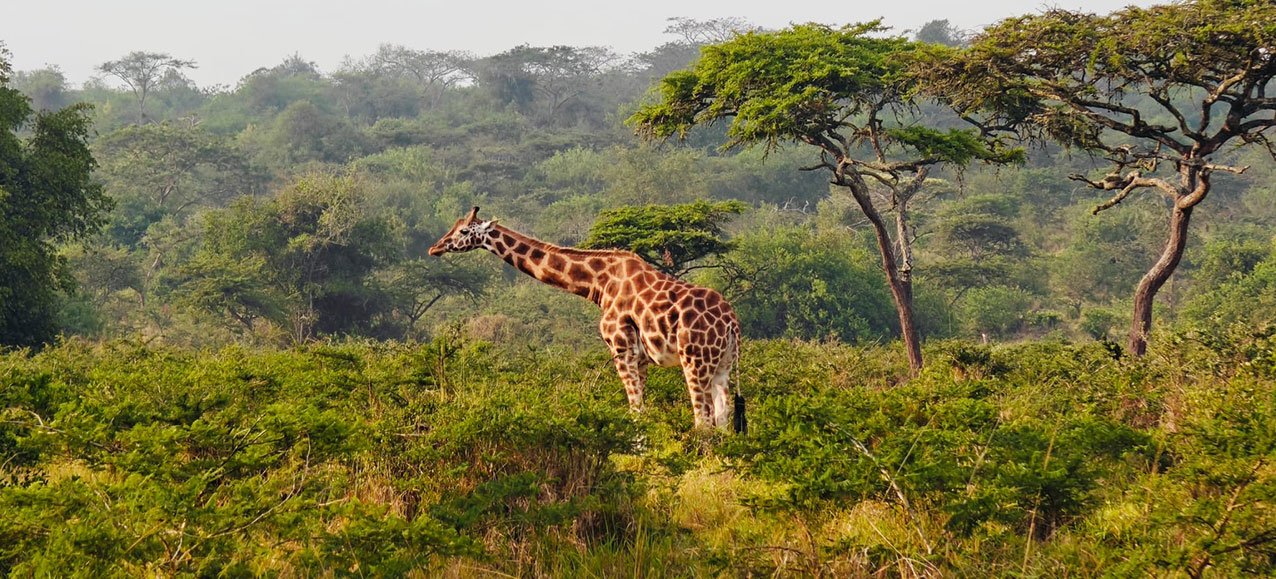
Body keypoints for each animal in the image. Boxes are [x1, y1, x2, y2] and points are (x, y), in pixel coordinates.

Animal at [431, 205, 745, 428]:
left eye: (463, 232)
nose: (435, 247)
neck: (598, 283)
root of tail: (731, 323)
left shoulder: (621, 347)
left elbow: (636, 410)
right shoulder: (640, 357)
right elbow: (640, 407)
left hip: (695, 360)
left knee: (703, 419)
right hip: (723, 365)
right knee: (723, 417)